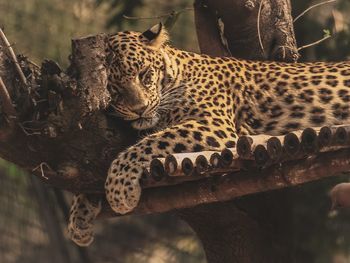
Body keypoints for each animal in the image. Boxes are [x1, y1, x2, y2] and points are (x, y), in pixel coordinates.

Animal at [67, 23, 350, 248]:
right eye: (113, 88)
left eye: (145, 74)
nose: (140, 109)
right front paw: (78, 217)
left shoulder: (214, 124)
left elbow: (145, 145)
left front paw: (119, 191)